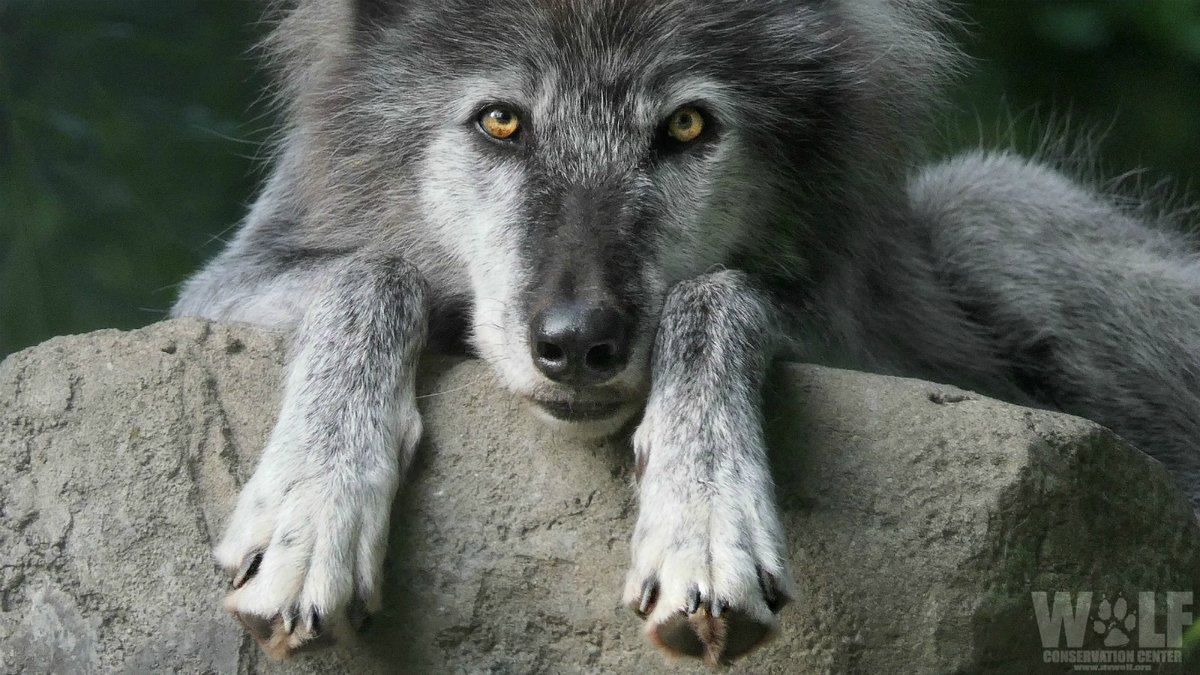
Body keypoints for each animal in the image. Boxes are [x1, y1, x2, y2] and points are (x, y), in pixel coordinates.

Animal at [171, 0, 1200, 665]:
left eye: (689, 126)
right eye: (500, 120)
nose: (578, 341)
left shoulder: (857, 330)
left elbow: (716, 296)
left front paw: (705, 522)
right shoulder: (222, 285)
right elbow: (373, 270)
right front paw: (312, 510)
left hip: (986, 202)